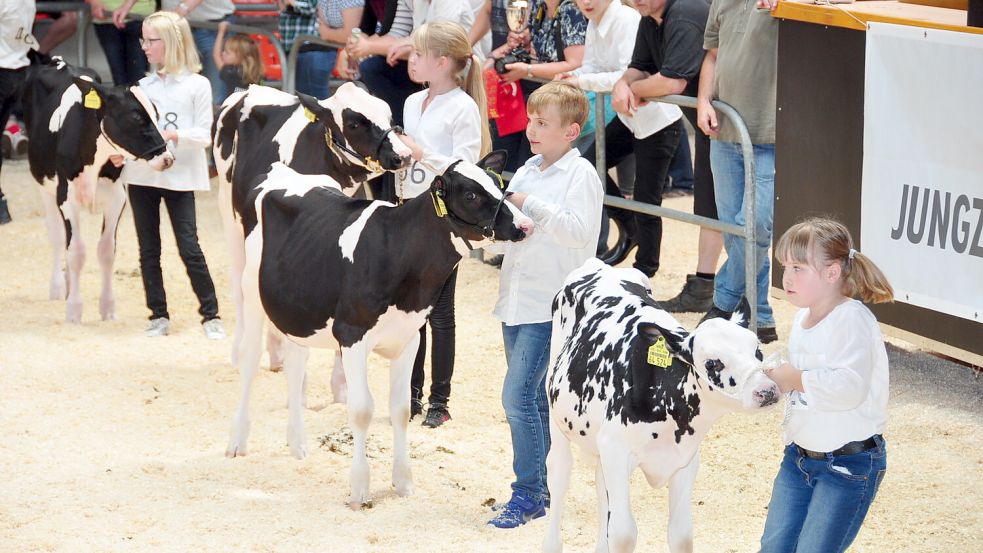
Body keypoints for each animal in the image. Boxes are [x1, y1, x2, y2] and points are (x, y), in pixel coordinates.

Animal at [23, 54, 173, 322]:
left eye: (156, 112)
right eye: (136, 116)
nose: (167, 158)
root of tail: (58, 61)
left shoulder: (116, 197)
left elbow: (105, 251)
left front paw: (107, 308)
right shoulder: (67, 198)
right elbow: (76, 252)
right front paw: (74, 311)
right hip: (44, 185)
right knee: (58, 236)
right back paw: (58, 287)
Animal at [213, 83, 414, 384]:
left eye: (389, 114)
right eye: (354, 123)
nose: (404, 154)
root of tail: (245, 90)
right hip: (230, 213)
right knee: (239, 282)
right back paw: (241, 352)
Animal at [227, 152, 536, 508]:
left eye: (499, 183)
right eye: (471, 194)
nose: (525, 225)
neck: (399, 250)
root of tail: (284, 172)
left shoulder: (409, 337)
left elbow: (400, 410)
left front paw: (403, 482)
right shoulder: (352, 335)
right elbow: (361, 410)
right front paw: (360, 489)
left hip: (296, 308)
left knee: (295, 364)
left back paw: (297, 445)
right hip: (251, 292)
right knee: (250, 361)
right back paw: (237, 442)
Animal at [540, 258, 780, 552]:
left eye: (757, 351)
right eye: (712, 363)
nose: (766, 391)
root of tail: (599, 265)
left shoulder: (685, 461)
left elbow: (681, 535)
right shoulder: (617, 451)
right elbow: (623, 533)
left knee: (599, 485)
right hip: (556, 413)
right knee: (559, 471)